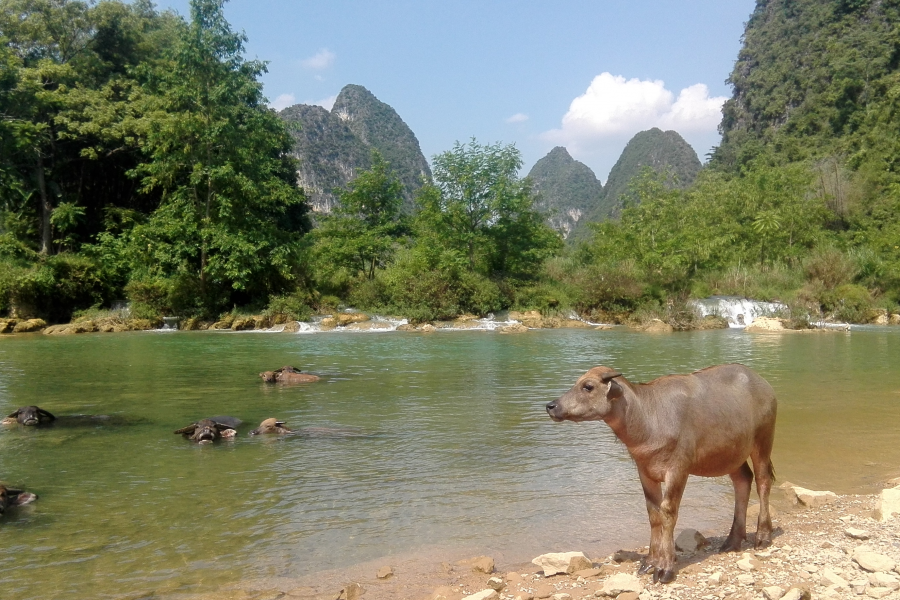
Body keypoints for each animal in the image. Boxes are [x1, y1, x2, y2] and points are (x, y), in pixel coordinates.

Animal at [544, 364, 776, 584]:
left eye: (588, 386)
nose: (551, 406)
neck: (647, 418)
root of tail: (764, 384)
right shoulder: (645, 471)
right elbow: (653, 514)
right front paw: (650, 561)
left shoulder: (678, 470)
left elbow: (668, 512)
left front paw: (665, 567)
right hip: (733, 454)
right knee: (743, 480)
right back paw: (732, 541)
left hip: (762, 442)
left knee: (763, 481)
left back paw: (763, 536)